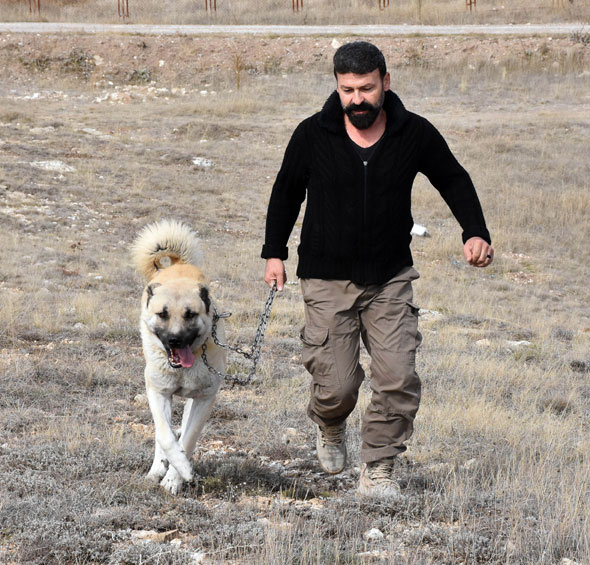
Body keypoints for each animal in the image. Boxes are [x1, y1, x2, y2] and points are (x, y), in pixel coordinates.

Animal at [132, 220, 227, 494]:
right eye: (162, 314)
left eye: (190, 314)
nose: (175, 340)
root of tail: (176, 264)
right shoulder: (158, 392)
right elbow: (165, 436)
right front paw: (176, 468)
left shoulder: (204, 399)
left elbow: (188, 438)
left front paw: (176, 478)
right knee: (161, 435)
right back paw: (156, 470)